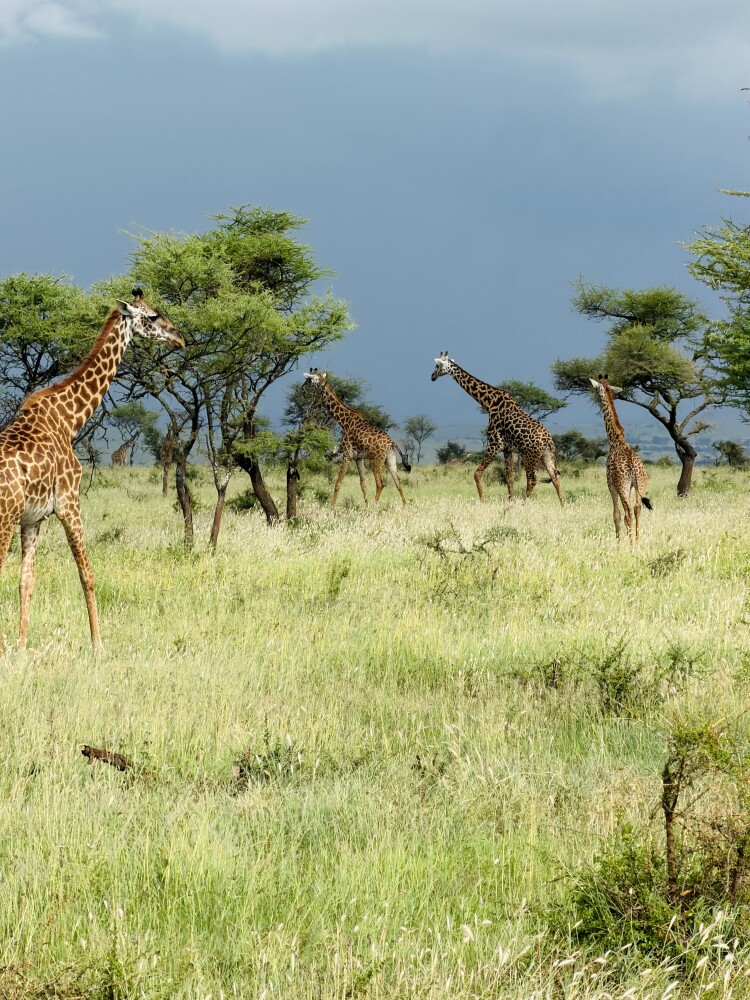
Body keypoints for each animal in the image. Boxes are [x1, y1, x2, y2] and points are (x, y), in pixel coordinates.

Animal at [0, 289, 184, 651]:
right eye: (153, 316)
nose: (180, 339)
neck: (70, 419)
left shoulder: (33, 518)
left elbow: (25, 581)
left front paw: (21, 646)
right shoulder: (69, 502)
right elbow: (87, 574)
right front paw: (98, 643)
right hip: (3, 519)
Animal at [303, 369, 411, 506]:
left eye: (308, 380)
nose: (302, 389)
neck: (344, 422)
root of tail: (391, 443)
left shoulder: (347, 454)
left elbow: (338, 483)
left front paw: (332, 507)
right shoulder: (358, 458)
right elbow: (363, 484)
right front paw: (365, 505)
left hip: (376, 460)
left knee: (380, 483)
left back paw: (375, 506)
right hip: (390, 460)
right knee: (398, 482)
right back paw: (405, 506)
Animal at [430, 353, 563, 504]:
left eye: (437, 365)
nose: (432, 376)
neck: (488, 402)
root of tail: (547, 439)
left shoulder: (495, 443)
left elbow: (477, 473)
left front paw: (483, 500)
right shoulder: (507, 449)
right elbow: (509, 478)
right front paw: (510, 501)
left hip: (529, 456)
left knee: (532, 480)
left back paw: (523, 504)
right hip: (547, 455)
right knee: (555, 477)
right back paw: (562, 505)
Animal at [589, 375, 653, 545]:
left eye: (597, 388)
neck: (615, 440)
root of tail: (633, 467)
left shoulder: (610, 484)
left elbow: (616, 515)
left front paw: (617, 545)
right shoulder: (631, 487)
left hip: (622, 486)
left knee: (628, 513)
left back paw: (630, 546)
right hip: (640, 485)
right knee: (637, 509)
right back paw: (637, 542)